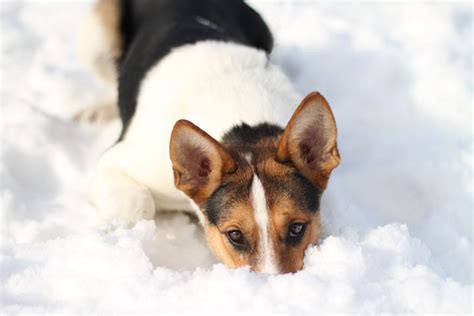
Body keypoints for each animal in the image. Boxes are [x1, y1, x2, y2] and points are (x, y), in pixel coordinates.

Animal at [78, 0, 340, 274]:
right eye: (235, 235)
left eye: (297, 228)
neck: (244, 127)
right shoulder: (113, 163)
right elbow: (138, 204)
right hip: (94, 40)